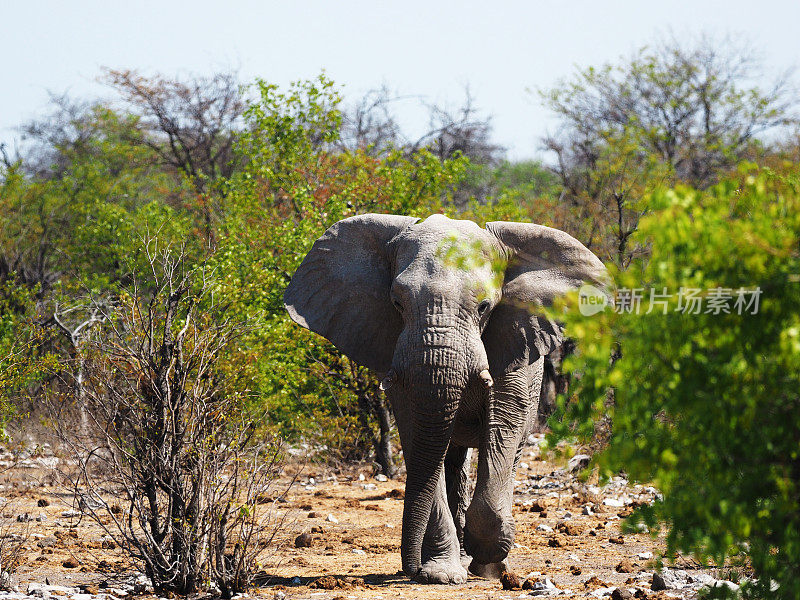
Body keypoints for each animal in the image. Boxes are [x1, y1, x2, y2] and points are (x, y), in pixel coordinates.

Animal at [284, 213, 604, 584]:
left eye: (484, 307)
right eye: (397, 303)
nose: (407, 569)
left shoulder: (512, 342)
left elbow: (503, 425)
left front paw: (488, 565)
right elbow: (417, 437)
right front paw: (440, 574)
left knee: (506, 452)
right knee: (448, 459)